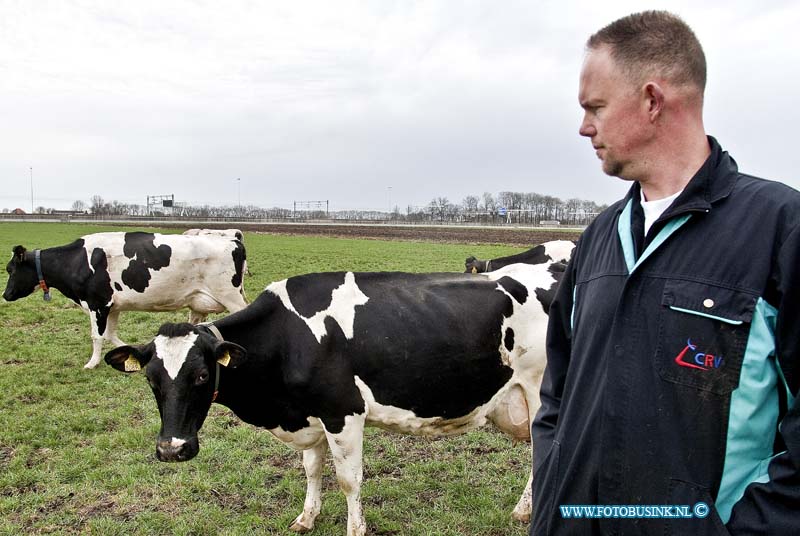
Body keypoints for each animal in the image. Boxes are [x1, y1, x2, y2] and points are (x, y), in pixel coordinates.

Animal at [3, 232, 247, 370]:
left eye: (10, 269)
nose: (5, 295)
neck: (76, 261)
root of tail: (233, 240)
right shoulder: (112, 307)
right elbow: (111, 335)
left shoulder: (97, 304)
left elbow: (97, 336)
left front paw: (92, 363)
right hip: (200, 303)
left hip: (231, 295)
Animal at [104, 264, 564, 536]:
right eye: (151, 380)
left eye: (201, 375)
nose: (171, 449)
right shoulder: (311, 415)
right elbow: (311, 469)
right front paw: (306, 517)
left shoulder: (343, 412)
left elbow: (349, 479)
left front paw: (354, 528)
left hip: (540, 392)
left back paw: (524, 512)